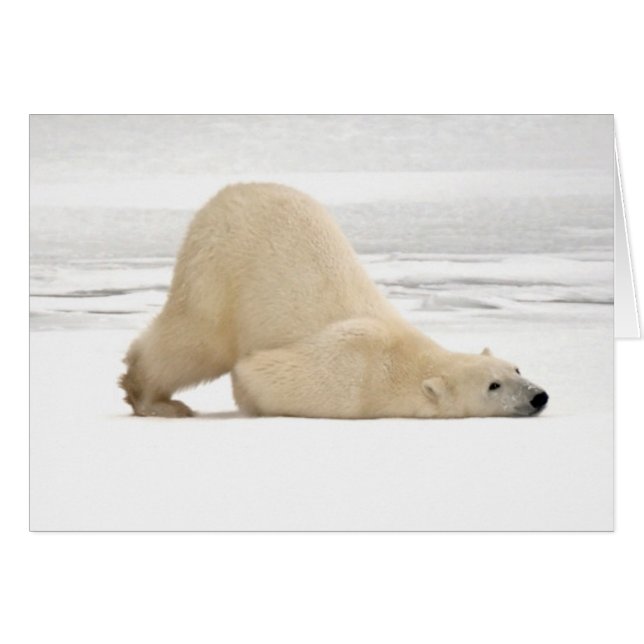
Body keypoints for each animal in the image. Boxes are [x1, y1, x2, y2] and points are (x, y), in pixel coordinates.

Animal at [120, 182, 548, 419]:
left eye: (516, 367)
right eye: (493, 385)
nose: (538, 396)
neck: (404, 360)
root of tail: (228, 193)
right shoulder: (352, 374)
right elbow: (256, 372)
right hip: (220, 270)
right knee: (194, 341)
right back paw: (154, 400)